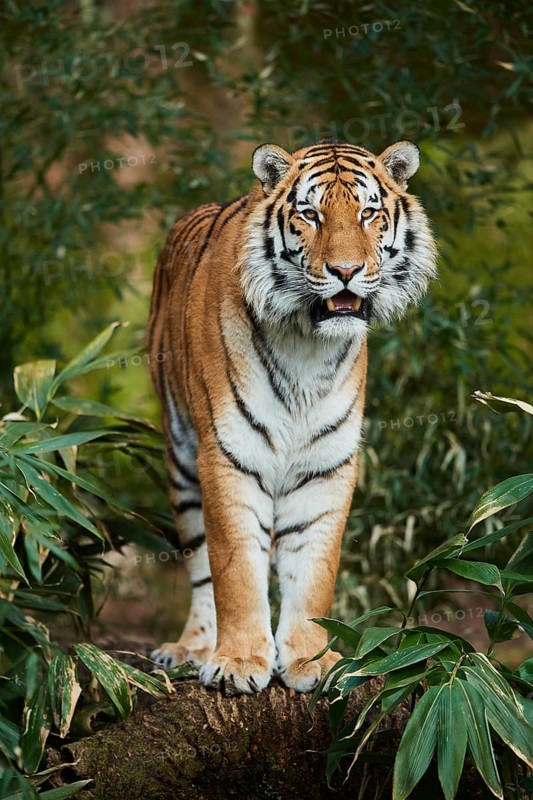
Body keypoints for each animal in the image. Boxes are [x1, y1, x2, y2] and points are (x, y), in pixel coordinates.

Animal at [147, 138, 437, 695]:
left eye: (368, 213)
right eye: (310, 214)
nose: (345, 271)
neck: (307, 344)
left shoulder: (326, 465)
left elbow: (312, 572)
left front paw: (311, 660)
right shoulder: (229, 457)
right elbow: (236, 571)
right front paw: (238, 663)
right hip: (181, 462)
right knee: (201, 567)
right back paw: (193, 648)